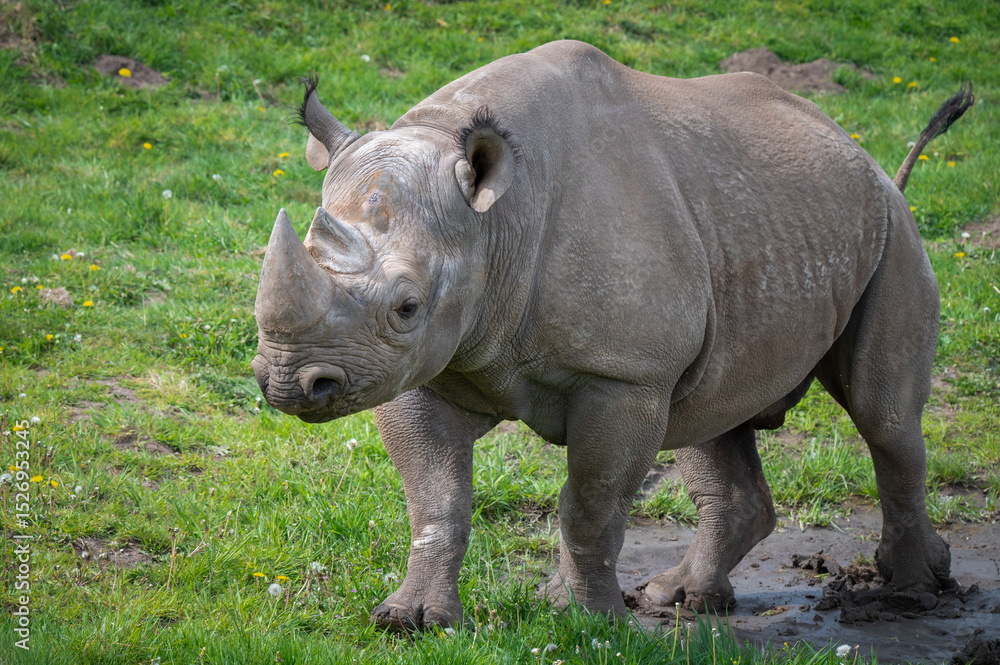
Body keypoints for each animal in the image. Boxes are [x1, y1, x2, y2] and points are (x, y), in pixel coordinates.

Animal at [251, 40, 973, 630]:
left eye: (406, 305)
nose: (290, 381)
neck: (494, 223)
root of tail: (862, 153)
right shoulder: (419, 365)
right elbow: (436, 498)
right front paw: (411, 619)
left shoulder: (624, 374)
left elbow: (590, 504)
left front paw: (591, 622)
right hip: (765, 224)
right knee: (711, 414)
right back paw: (680, 598)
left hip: (892, 233)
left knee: (883, 416)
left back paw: (909, 594)